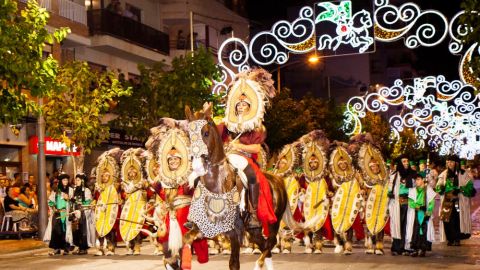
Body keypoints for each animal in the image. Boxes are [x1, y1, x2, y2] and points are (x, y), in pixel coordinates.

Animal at [182, 104, 302, 268]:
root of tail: (277, 179)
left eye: (206, 133)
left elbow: (234, 264)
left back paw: (258, 264)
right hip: (254, 230)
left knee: (270, 243)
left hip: (273, 222)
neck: (217, 184)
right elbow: (186, 239)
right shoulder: (202, 228)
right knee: (265, 246)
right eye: (189, 135)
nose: (197, 166)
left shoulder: (235, 233)